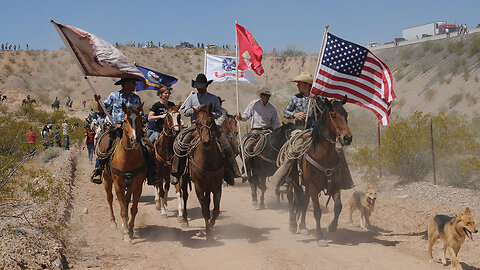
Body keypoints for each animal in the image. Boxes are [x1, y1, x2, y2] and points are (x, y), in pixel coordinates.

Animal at [101, 102, 146, 244]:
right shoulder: (118, 186)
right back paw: (114, 223)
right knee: (109, 199)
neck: (128, 157)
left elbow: (133, 209)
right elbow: (123, 211)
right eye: (125, 120)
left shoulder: (137, 186)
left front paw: (130, 230)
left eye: (140, 119)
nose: (134, 140)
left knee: (126, 201)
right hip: (106, 180)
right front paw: (126, 235)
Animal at [187, 104, 226, 240]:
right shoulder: (198, 186)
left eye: (211, 121)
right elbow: (204, 209)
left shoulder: (217, 186)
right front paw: (208, 230)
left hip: (209, 187)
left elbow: (216, 210)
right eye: (197, 123)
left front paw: (211, 226)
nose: (206, 142)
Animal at [288, 97, 352, 247]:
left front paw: (332, 227)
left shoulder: (335, 185)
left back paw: (303, 226)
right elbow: (317, 211)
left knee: (304, 201)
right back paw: (293, 223)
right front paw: (320, 236)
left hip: (306, 186)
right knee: (290, 197)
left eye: (346, 114)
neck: (324, 155)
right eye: (333, 115)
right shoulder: (313, 186)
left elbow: (338, 206)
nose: (347, 138)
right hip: (292, 181)